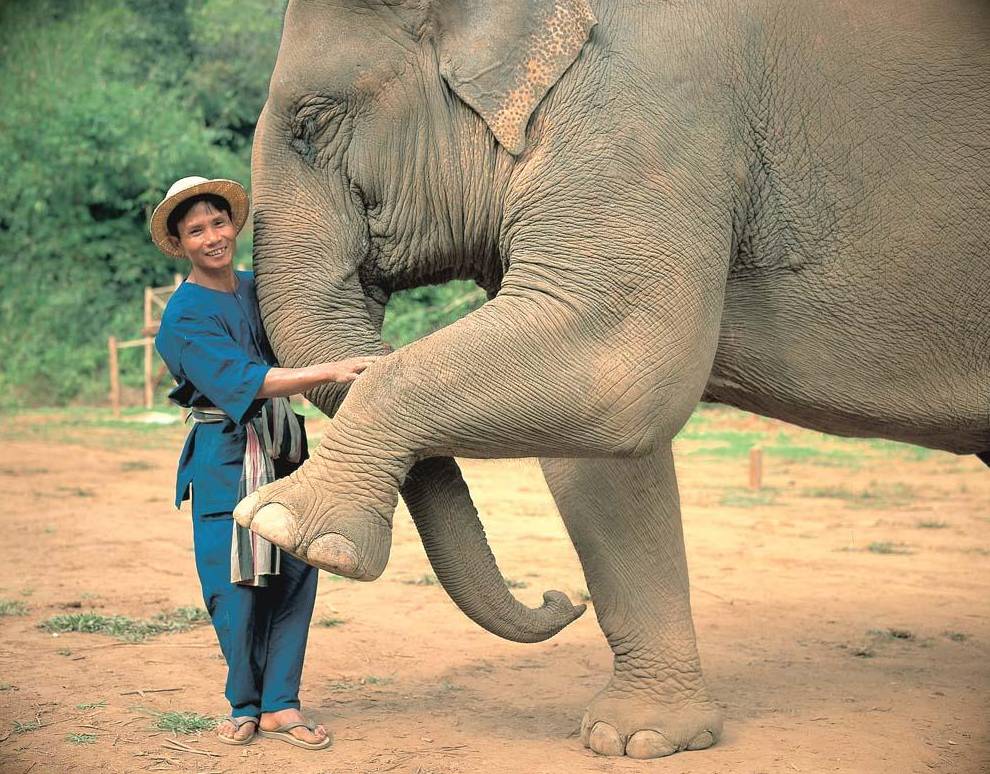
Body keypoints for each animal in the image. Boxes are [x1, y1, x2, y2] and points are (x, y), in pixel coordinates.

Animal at [234, 0, 990, 764]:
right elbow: (597, 451)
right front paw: (640, 741)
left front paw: (286, 528)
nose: (559, 599)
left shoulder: (653, 106)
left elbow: (622, 359)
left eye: (312, 123)